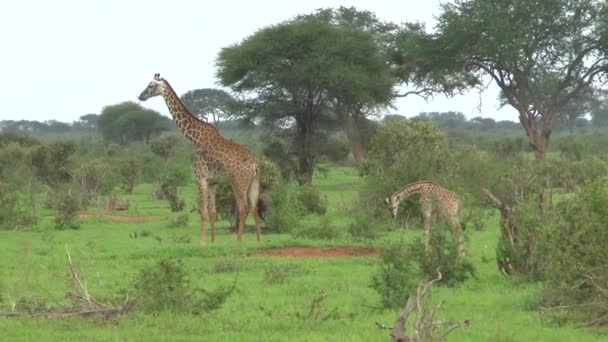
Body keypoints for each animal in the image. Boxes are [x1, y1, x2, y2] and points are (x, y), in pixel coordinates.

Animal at [139, 74, 262, 246]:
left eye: (151, 85)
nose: (141, 96)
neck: (194, 138)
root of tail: (254, 164)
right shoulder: (212, 182)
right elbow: (213, 212)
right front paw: (213, 242)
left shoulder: (200, 177)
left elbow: (203, 212)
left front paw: (202, 243)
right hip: (254, 182)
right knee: (255, 207)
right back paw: (259, 240)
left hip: (237, 182)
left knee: (243, 208)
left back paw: (238, 242)